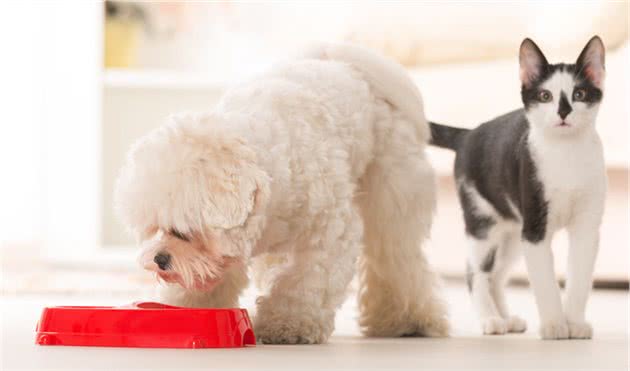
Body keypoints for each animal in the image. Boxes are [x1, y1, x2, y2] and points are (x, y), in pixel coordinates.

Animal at [113, 44, 450, 346]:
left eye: (182, 231)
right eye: (154, 229)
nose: (159, 259)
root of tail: (347, 62)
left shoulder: (330, 232)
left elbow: (307, 281)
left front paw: (288, 324)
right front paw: (186, 311)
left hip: (393, 193)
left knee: (396, 256)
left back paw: (407, 320)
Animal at [434, 37, 608, 340]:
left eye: (580, 94)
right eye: (545, 96)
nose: (564, 111)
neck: (567, 154)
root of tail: (468, 135)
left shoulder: (586, 227)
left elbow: (579, 276)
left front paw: (574, 323)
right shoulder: (535, 228)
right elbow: (544, 280)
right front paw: (553, 325)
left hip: (513, 232)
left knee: (497, 274)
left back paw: (507, 318)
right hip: (483, 221)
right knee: (476, 272)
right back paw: (490, 319)